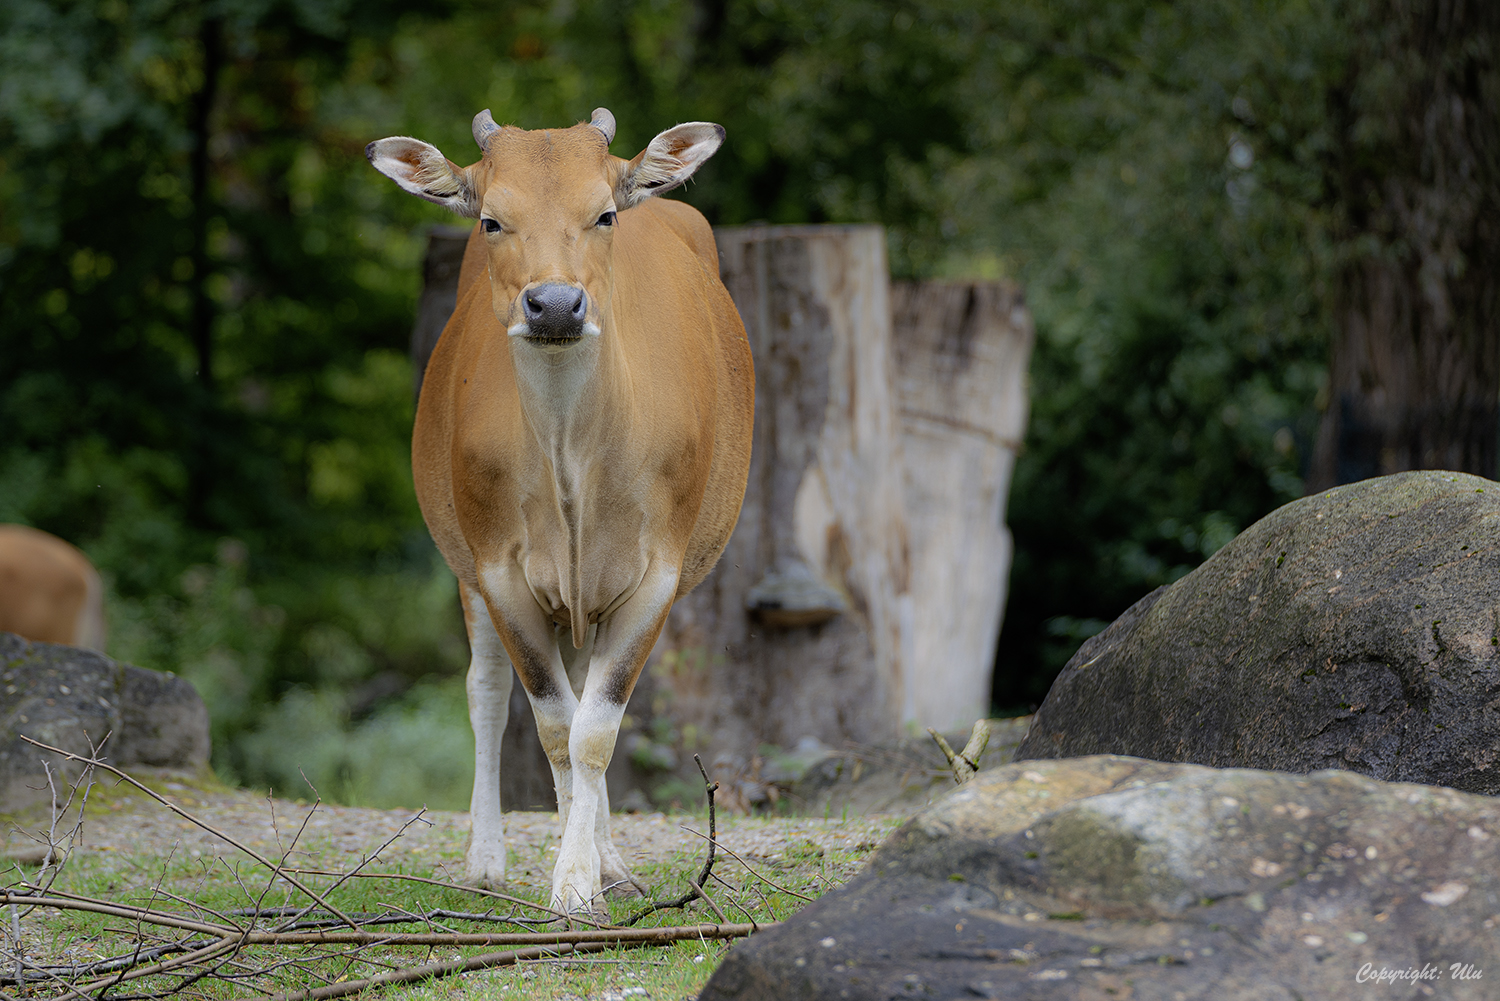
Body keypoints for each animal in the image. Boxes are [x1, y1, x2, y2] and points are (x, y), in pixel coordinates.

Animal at [369, 109, 756, 918]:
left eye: (604, 213)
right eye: (491, 218)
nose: (553, 305)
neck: (573, 467)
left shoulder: (655, 578)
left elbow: (595, 731)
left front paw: (586, 878)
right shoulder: (499, 573)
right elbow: (552, 726)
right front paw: (574, 880)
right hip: (468, 571)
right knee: (486, 695)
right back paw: (487, 859)